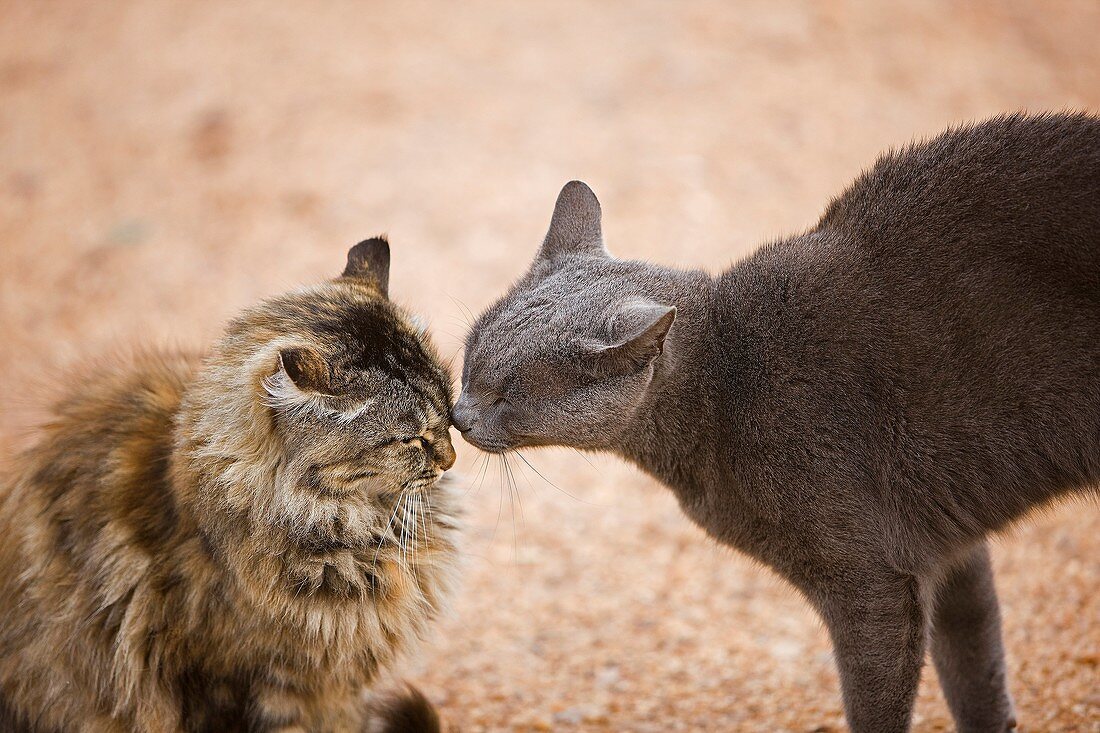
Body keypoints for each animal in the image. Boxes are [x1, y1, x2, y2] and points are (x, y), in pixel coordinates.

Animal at [451, 112, 1095, 730]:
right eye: (469, 359)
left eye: (507, 392)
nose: (459, 415)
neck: (723, 387)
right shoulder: (953, 547)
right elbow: (976, 670)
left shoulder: (872, 581)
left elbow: (879, 702)